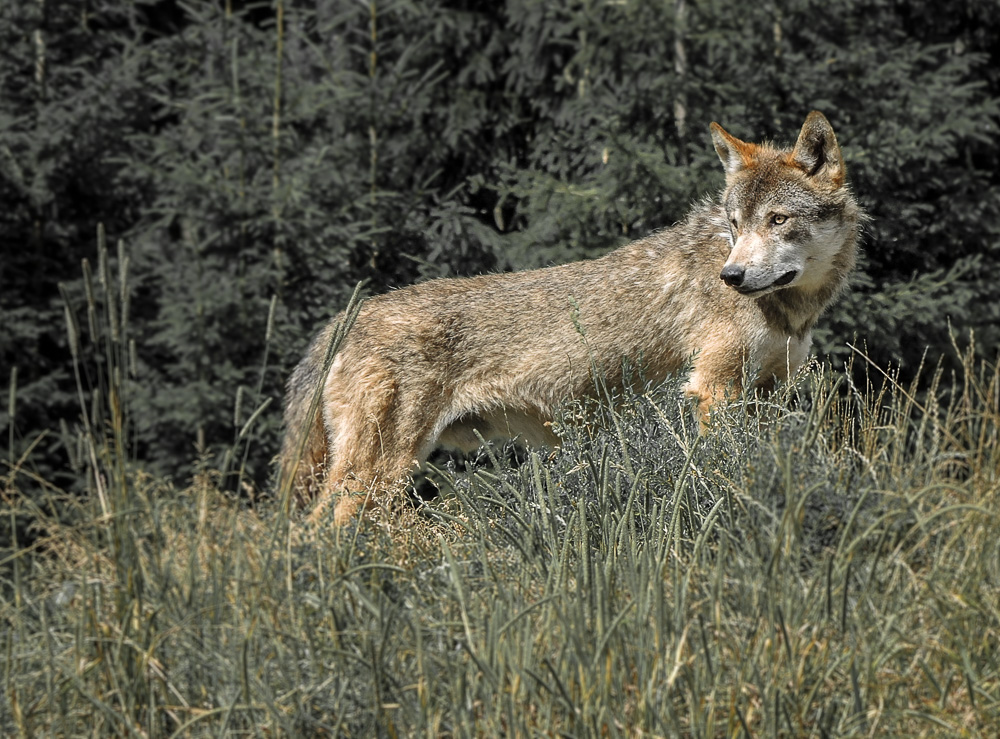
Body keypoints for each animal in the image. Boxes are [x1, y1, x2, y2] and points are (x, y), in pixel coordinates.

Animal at [280, 110, 860, 528]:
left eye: (777, 220)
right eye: (735, 223)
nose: (731, 276)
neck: (791, 311)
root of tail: (346, 317)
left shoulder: (767, 394)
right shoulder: (713, 390)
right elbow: (723, 469)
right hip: (381, 473)